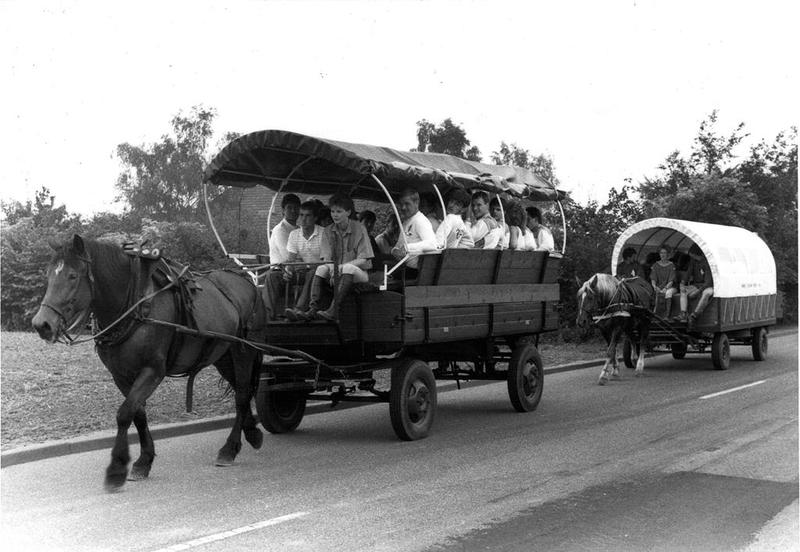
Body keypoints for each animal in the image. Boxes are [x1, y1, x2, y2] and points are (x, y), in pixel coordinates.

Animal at [32, 235, 266, 491]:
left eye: (72, 276)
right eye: (48, 274)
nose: (42, 324)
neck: (135, 305)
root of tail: (246, 282)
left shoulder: (153, 371)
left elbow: (124, 414)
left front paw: (117, 467)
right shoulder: (121, 375)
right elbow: (138, 415)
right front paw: (144, 460)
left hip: (244, 350)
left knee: (242, 395)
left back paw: (230, 448)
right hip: (222, 355)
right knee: (242, 390)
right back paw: (252, 432)